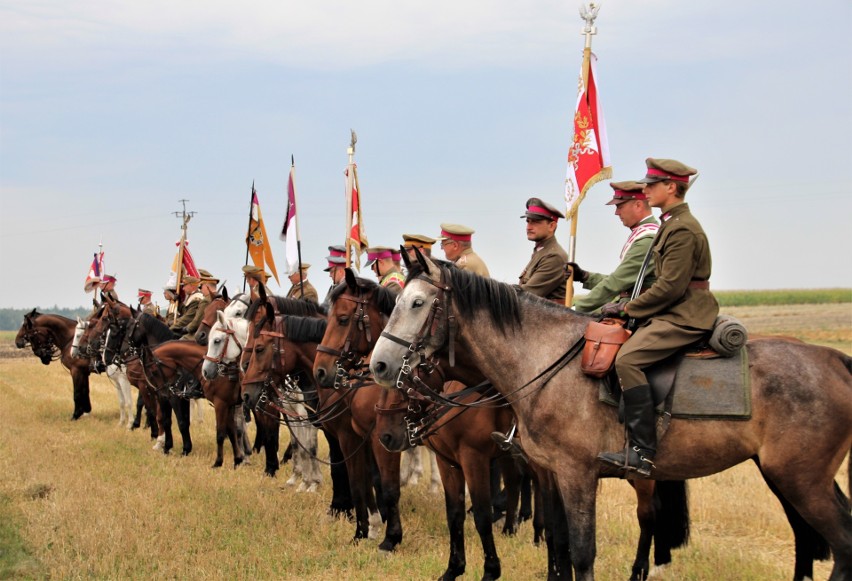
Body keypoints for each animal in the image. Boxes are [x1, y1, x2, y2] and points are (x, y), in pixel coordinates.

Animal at [372, 255, 852, 580]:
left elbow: (582, 552)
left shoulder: (576, 474)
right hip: (792, 478)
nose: (379, 365)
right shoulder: (549, 473)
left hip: (800, 481)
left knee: (840, 542)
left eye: (417, 303)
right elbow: (560, 542)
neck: (543, 360)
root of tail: (835, 360)